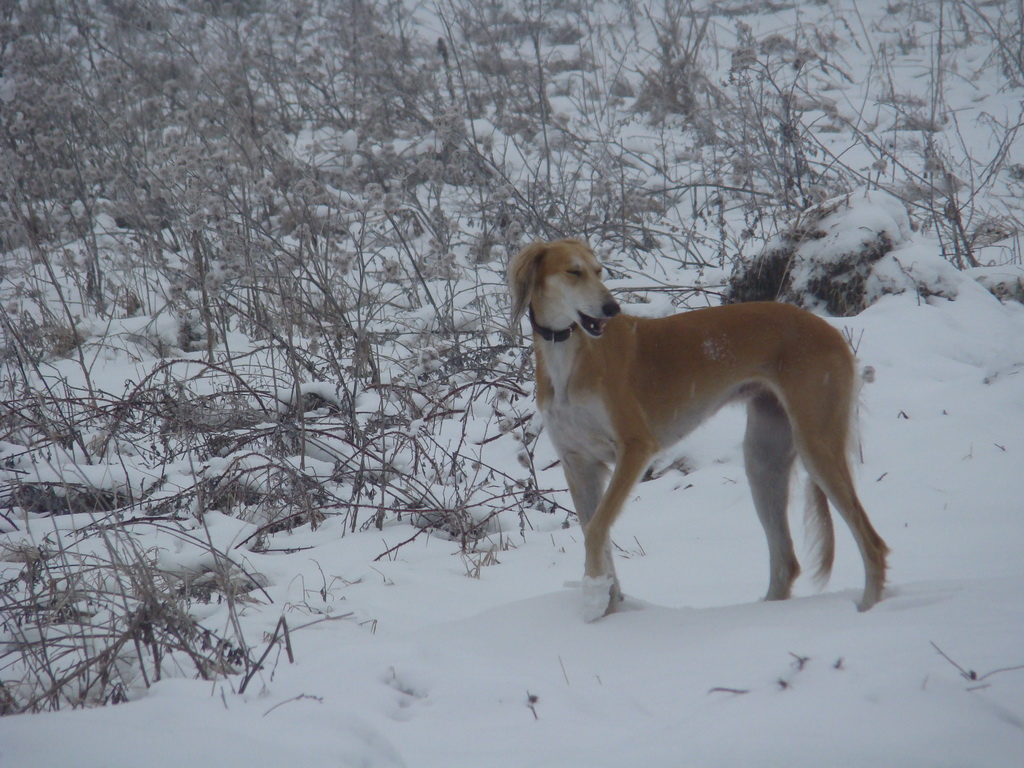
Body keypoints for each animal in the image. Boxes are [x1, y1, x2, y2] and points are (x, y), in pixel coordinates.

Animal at [509, 237, 888, 622]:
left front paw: (594, 598)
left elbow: (597, 530)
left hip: (816, 443)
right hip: (764, 458)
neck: (567, 357)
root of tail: (831, 330)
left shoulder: (636, 447)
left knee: (873, 543)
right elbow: (595, 531)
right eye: (574, 272)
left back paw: (868, 609)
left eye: (599, 271)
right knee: (787, 561)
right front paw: (607, 610)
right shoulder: (579, 463)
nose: (611, 308)